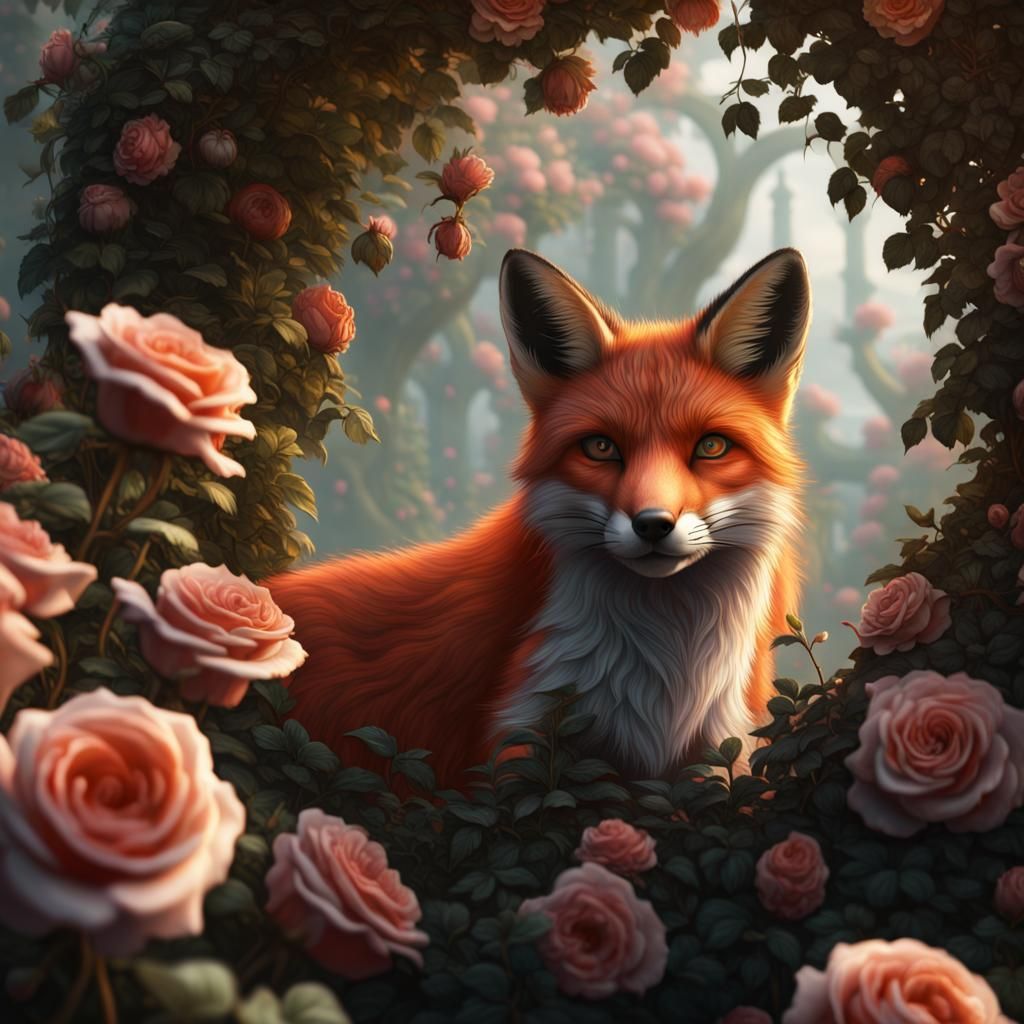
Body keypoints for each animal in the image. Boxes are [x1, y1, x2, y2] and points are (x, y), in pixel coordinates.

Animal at [268, 247, 811, 788]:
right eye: (600, 447)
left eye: (711, 446)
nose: (653, 524)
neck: (663, 690)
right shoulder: (522, 744)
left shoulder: (721, 755)